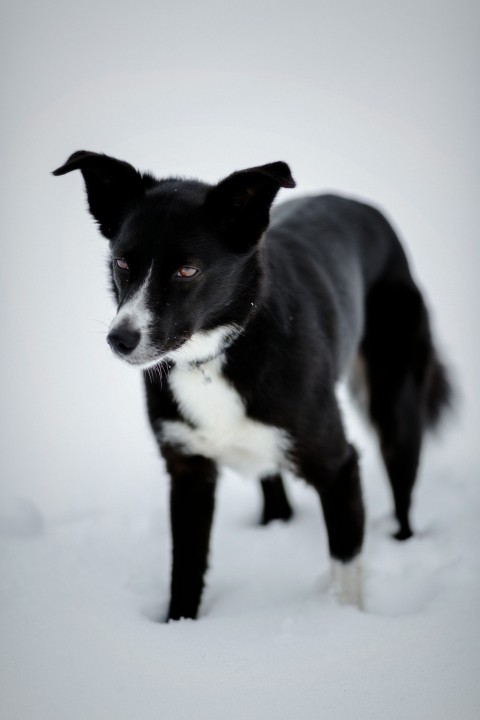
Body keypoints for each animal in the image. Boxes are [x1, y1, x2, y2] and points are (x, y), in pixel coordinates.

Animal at [54, 150, 452, 620]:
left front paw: (345, 621)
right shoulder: (188, 469)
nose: (120, 339)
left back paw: (402, 539)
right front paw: (178, 625)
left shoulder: (338, 467)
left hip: (395, 405)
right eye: (122, 263)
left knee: (402, 488)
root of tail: (364, 207)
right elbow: (185, 569)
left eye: (187, 270)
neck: (212, 357)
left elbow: (345, 570)